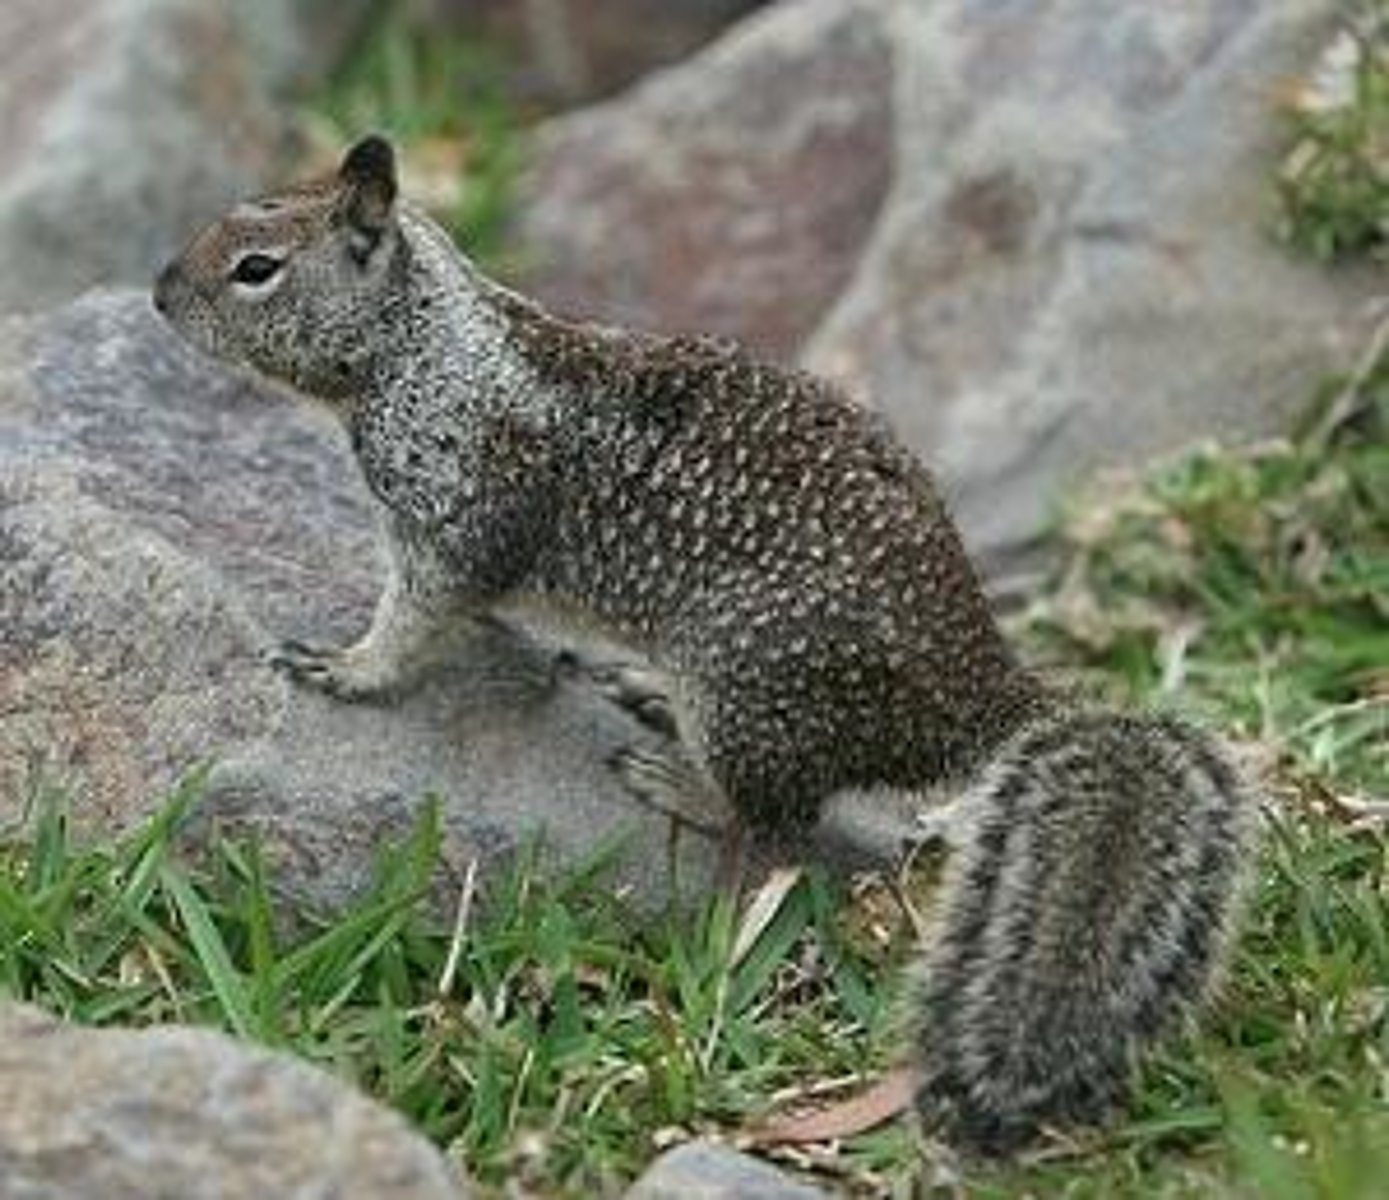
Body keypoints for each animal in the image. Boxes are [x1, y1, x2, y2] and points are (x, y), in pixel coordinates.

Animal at [153, 135, 1259, 1154]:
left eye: (256, 267)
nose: (160, 294)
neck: (426, 349)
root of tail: (976, 691)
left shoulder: (457, 521)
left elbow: (417, 621)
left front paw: (345, 668)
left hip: (744, 688)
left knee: (777, 821)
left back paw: (674, 778)